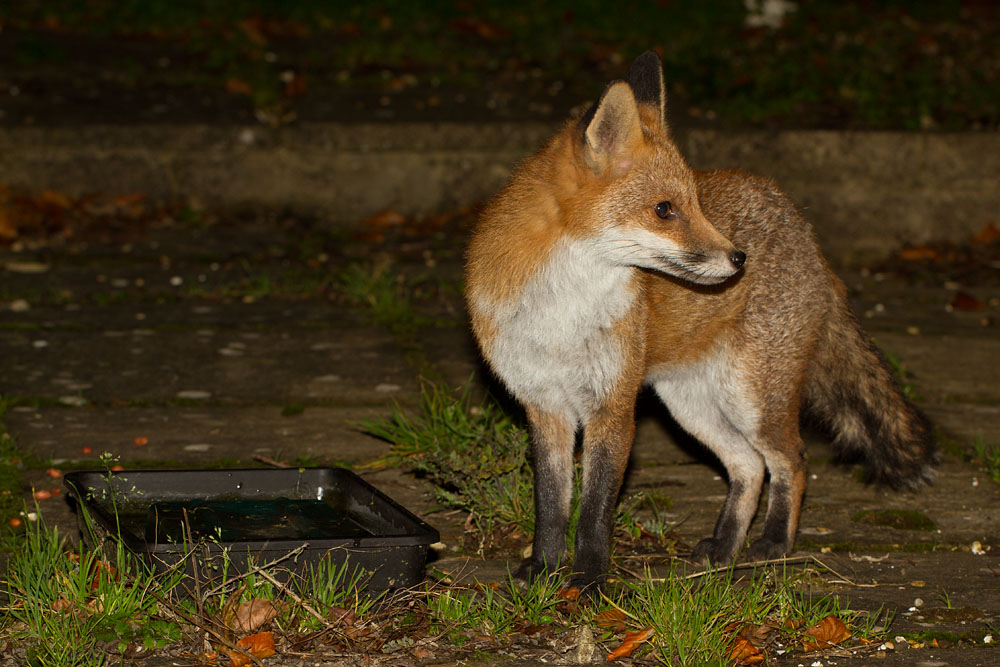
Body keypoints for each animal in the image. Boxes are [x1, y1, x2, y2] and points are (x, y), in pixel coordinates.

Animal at [465, 51, 936, 591]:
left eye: (695, 202)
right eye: (664, 209)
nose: (738, 258)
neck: (561, 312)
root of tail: (806, 233)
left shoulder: (613, 406)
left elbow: (595, 511)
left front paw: (587, 581)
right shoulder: (544, 405)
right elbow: (551, 506)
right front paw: (544, 570)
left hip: (752, 399)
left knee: (791, 460)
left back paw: (773, 544)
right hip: (690, 404)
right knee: (749, 466)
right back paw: (725, 547)